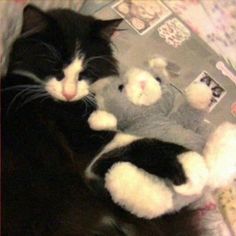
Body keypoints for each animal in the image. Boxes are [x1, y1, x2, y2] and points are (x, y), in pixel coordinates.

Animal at [1, 4, 201, 236]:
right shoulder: (86, 149)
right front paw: (191, 164)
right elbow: (138, 141)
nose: (69, 93)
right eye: (56, 69)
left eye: (85, 72)